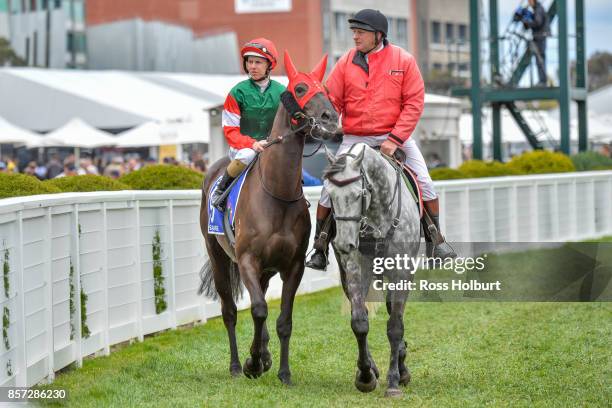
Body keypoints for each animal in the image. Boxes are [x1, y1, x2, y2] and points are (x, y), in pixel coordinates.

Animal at [198, 51, 338, 386]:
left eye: (326, 88)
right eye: (300, 88)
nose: (331, 117)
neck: (277, 193)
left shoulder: (293, 265)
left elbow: (283, 319)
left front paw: (282, 371)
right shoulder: (247, 259)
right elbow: (259, 310)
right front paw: (253, 362)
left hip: (266, 270)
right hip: (219, 256)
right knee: (230, 311)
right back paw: (237, 365)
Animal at [326, 142, 420, 396]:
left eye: (358, 195)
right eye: (329, 196)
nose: (343, 243)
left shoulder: (401, 272)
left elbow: (395, 326)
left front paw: (394, 381)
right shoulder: (355, 268)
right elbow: (359, 321)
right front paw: (366, 375)